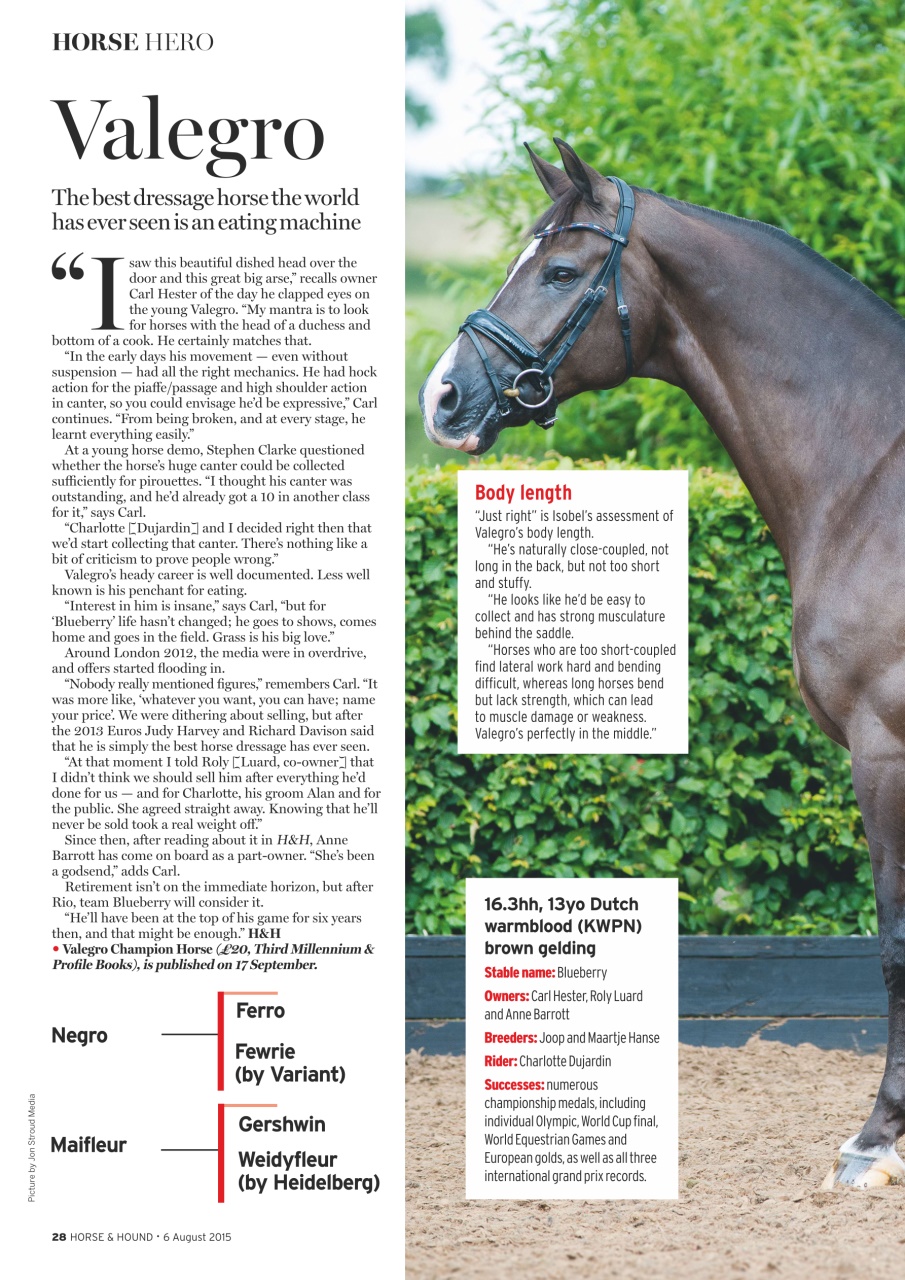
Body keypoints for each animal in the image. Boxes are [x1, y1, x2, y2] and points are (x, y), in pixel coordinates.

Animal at [419, 138, 905, 1191]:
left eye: (562, 272)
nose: (441, 397)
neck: (873, 478)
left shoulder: (882, 749)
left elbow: (893, 936)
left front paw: (875, 1140)